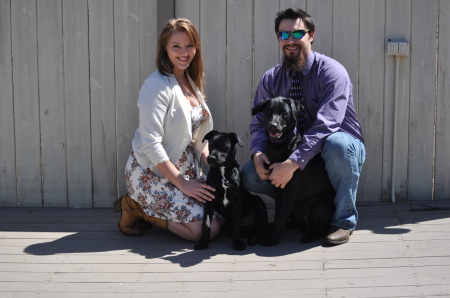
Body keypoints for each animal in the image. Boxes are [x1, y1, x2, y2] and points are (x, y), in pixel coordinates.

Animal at [251, 96, 336, 246]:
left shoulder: (290, 189)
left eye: (284, 113)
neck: (279, 146)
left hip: (319, 204)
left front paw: (272, 240)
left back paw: (309, 236)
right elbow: (278, 215)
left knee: (321, 229)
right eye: (268, 112)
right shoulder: (278, 188)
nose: (273, 125)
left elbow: (280, 219)